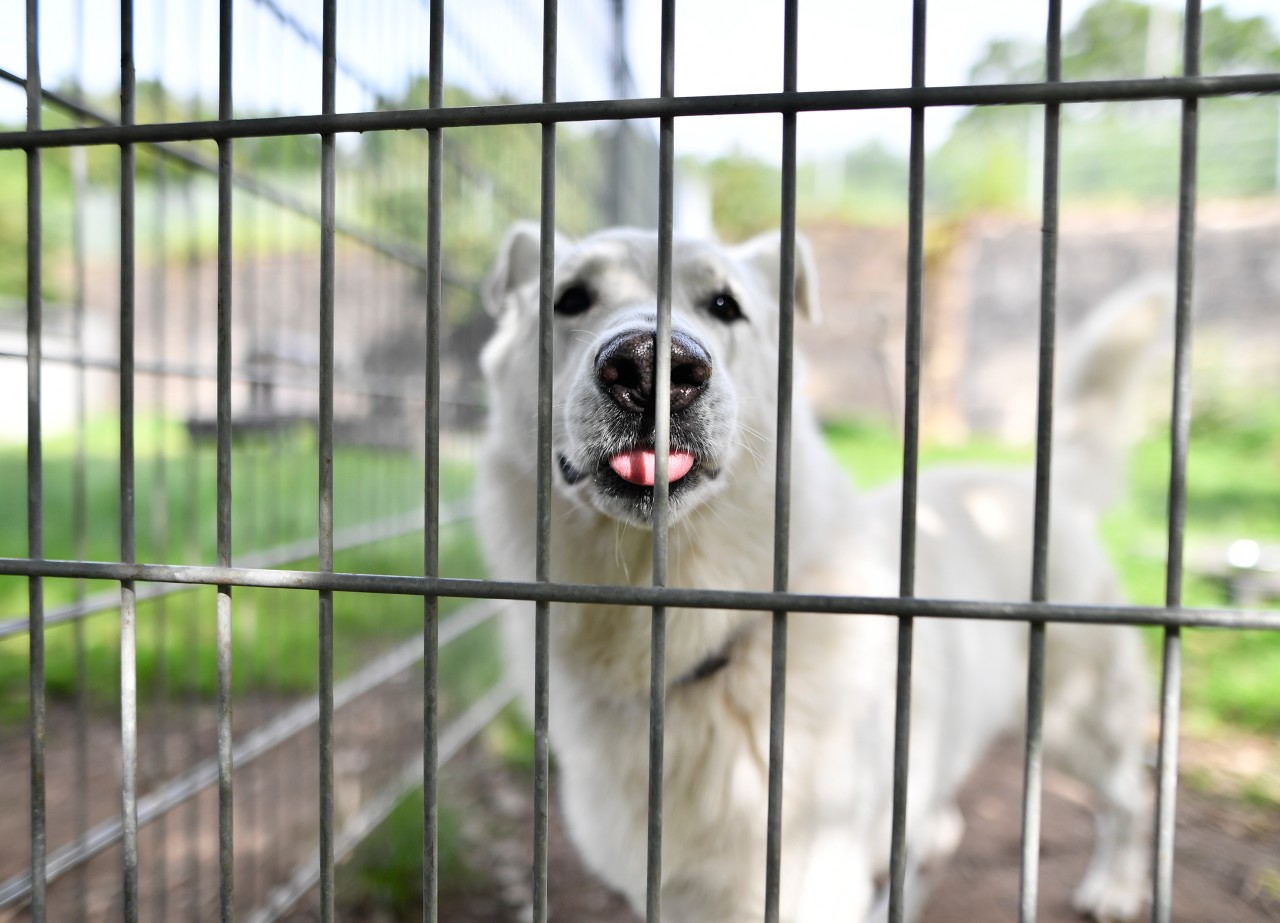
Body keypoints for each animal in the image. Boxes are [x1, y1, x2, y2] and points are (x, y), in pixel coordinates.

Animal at [476, 225, 1157, 921]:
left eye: (724, 305)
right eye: (571, 298)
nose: (647, 367)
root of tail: (1037, 482)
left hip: (1077, 720)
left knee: (1133, 795)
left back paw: (1118, 885)